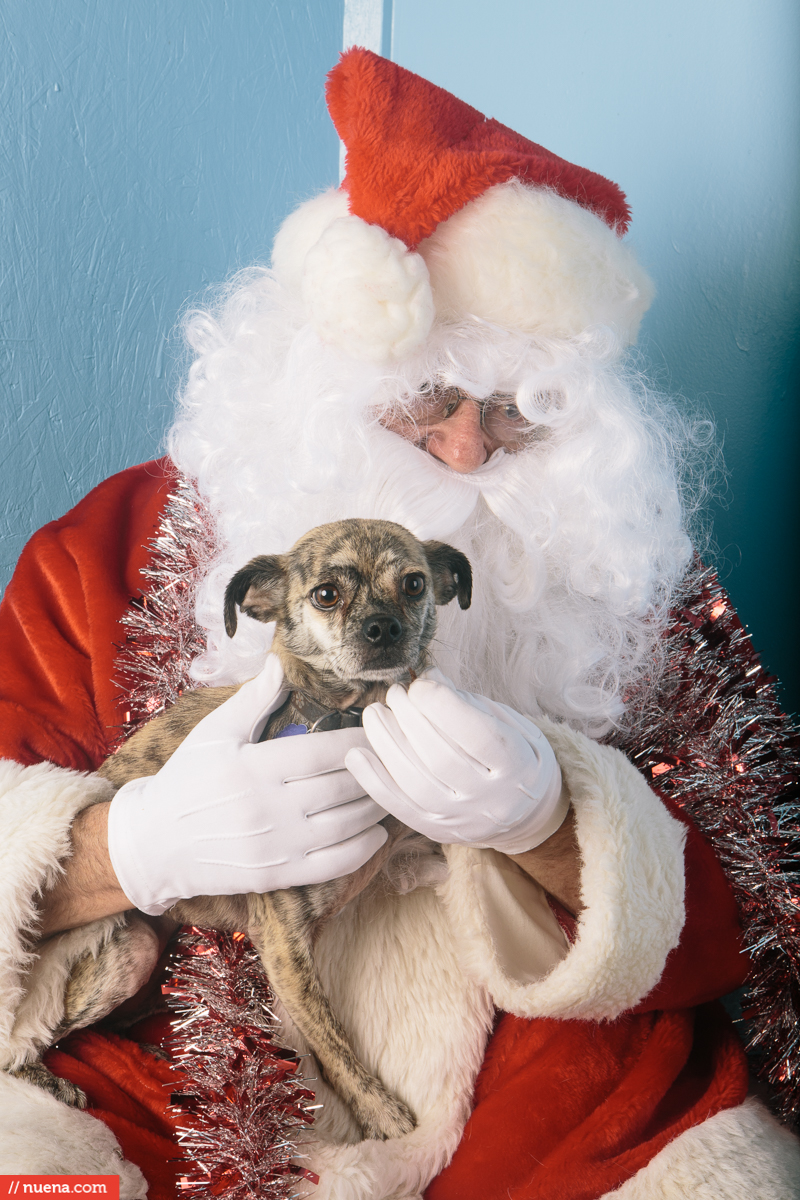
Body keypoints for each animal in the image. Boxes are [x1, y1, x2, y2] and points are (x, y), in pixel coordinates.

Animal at [18, 520, 472, 1137]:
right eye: (326, 594)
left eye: (414, 584)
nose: (384, 627)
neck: (348, 717)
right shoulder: (282, 943)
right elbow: (333, 1042)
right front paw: (381, 1112)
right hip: (125, 950)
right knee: (29, 1038)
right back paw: (46, 1079)